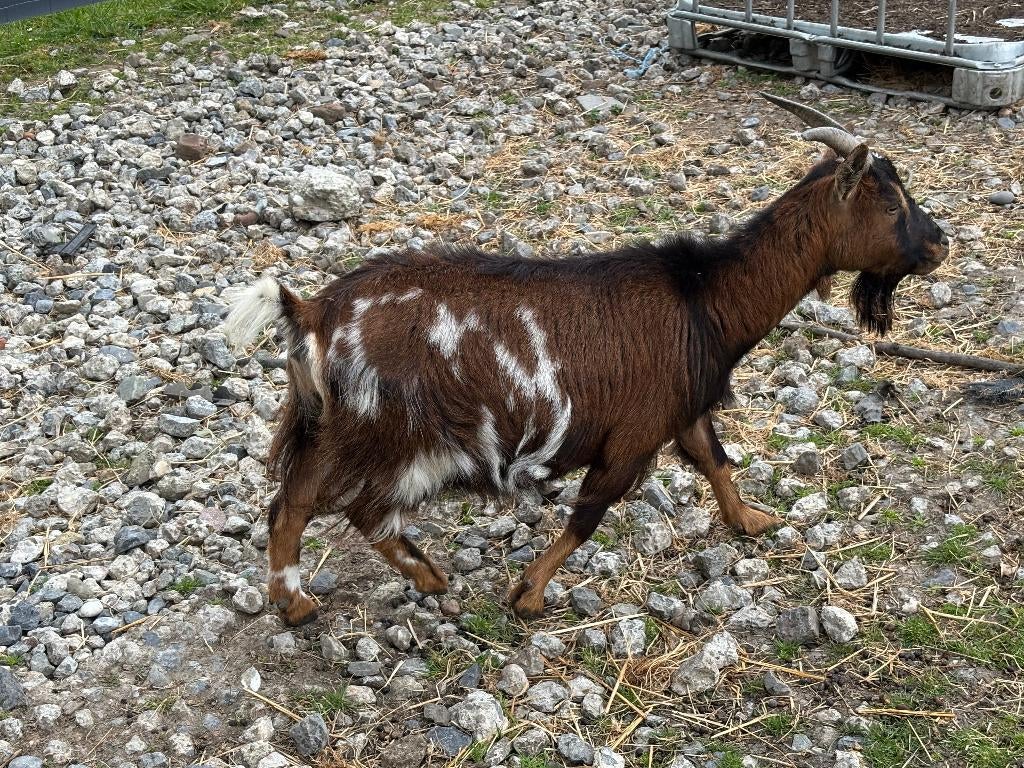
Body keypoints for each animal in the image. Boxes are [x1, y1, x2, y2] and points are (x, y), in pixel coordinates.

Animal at [223, 94, 949, 626]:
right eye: (890, 202)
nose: (940, 244)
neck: (704, 297)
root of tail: (314, 312)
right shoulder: (631, 434)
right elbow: (589, 514)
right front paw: (528, 594)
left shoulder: (680, 408)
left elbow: (714, 460)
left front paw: (751, 521)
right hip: (378, 434)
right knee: (330, 509)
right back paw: (346, 594)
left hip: (346, 431)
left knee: (323, 508)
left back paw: (372, 587)